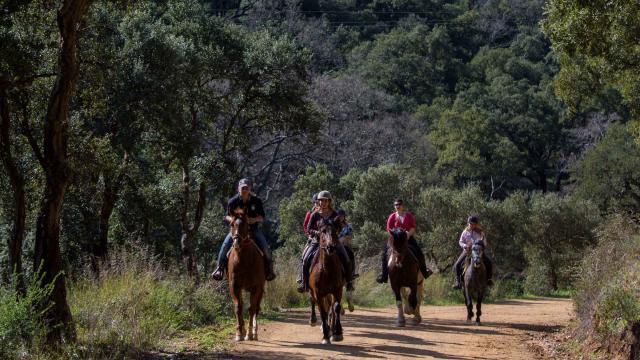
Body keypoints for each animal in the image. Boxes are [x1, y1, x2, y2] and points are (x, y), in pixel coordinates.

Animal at [228, 210, 264, 342]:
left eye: (245, 224)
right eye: (232, 224)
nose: (237, 243)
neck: (243, 260)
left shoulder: (256, 287)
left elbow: (251, 308)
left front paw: (249, 333)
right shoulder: (234, 286)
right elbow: (238, 307)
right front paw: (239, 333)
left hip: (260, 289)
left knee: (256, 308)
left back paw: (255, 332)